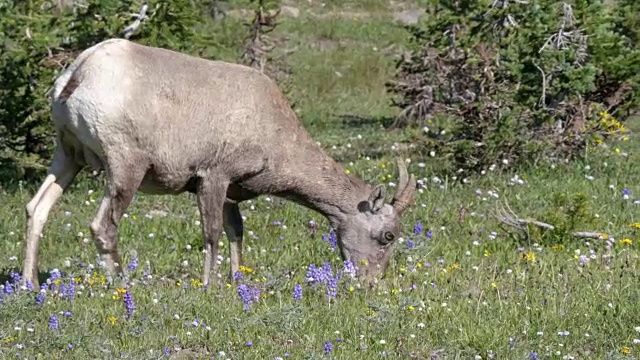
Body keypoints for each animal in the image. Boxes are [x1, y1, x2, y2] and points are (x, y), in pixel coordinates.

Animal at [21, 38, 416, 288]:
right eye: (388, 235)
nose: (370, 283)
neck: (274, 132)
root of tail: (78, 74)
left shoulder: (230, 192)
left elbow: (234, 232)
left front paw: (236, 280)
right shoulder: (212, 177)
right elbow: (211, 233)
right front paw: (209, 285)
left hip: (67, 155)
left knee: (37, 208)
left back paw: (30, 283)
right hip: (124, 167)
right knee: (103, 225)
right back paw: (120, 283)